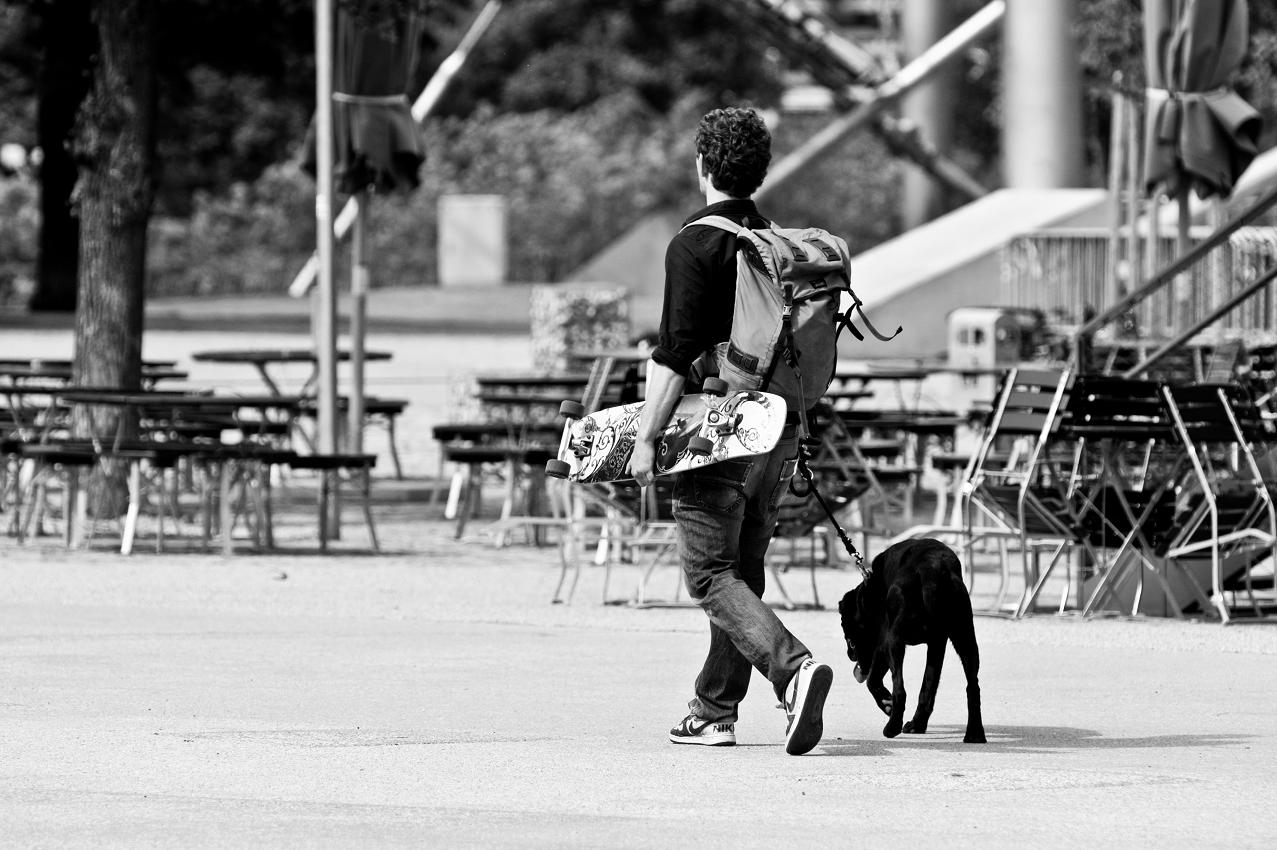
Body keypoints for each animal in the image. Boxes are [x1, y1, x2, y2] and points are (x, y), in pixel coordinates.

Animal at [837, 536, 985, 740]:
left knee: (900, 690)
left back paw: (892, 727)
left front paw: (887, 704)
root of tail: (932, 569)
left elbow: (872, 681)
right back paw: (970, 733)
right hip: (965, 638)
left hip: (895, 642)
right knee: (970, 687)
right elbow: (928, 687)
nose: (849, 654)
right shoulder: (937, 644)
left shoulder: (884, 644)